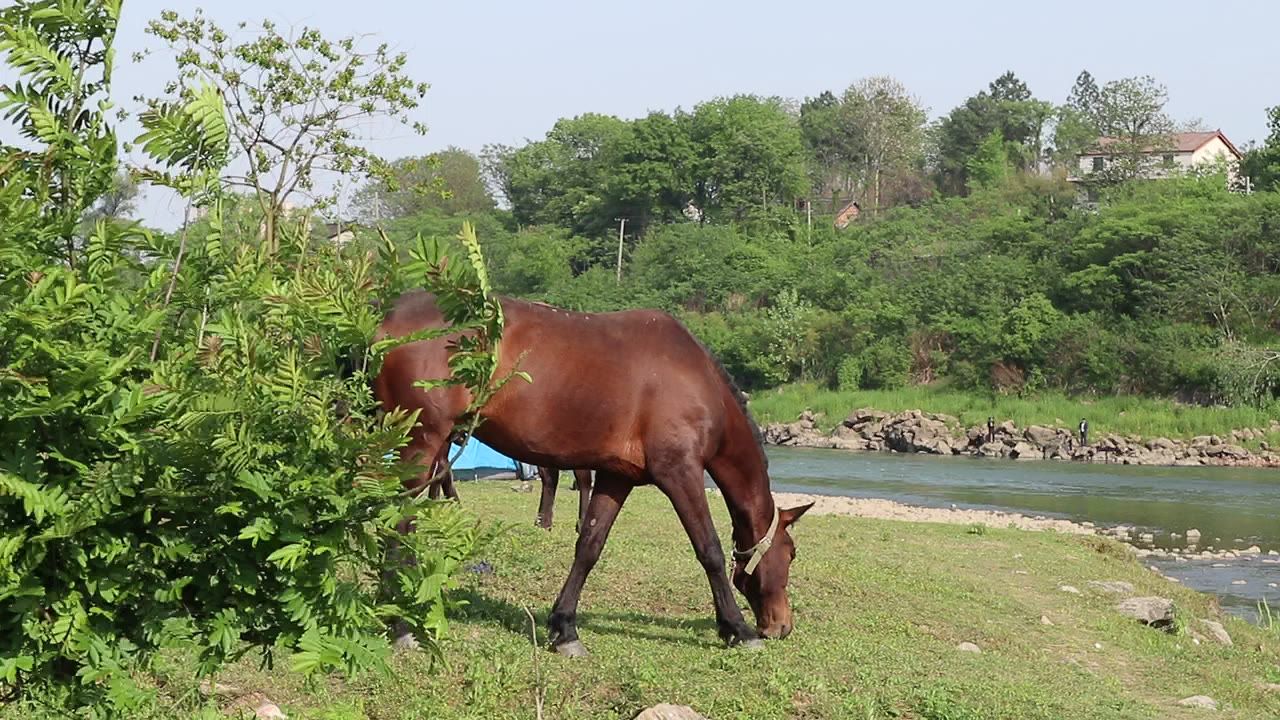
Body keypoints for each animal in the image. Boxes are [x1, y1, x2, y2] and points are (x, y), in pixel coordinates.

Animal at [373, 291, 812, 656]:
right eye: (791, 553)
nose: (782, 626)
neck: (696, 380)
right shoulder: (680, 472)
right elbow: (710, 550)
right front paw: (738, 629)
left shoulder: (618, 477)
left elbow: (589, 546)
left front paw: (565, 628)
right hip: (422, 442)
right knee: (398, 520)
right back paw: (399, 626)